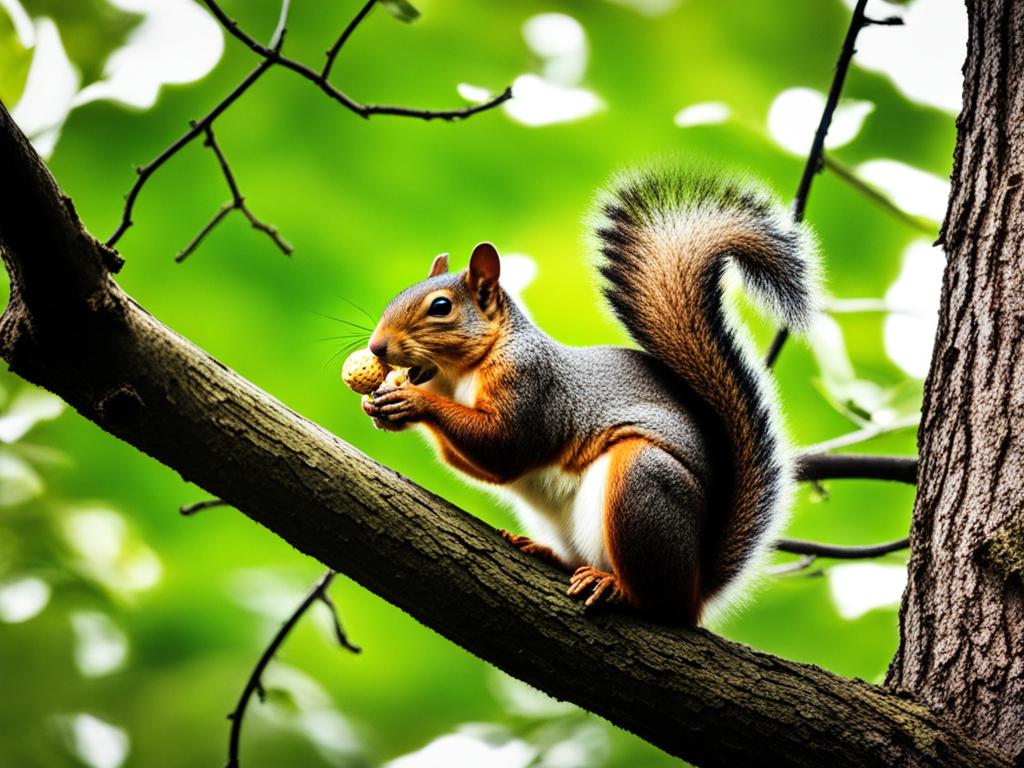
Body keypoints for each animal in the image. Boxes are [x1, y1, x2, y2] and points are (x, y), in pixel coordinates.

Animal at [360, 167, 815, 626]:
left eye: (441, 307)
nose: (377, 347)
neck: (458, 376)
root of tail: (697, 589)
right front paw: (380, 405)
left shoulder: (533, 384)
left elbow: (504, 446)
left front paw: (413, 404)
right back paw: (544, 552)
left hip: (644, 488)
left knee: (658, 601)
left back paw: (616, 588)